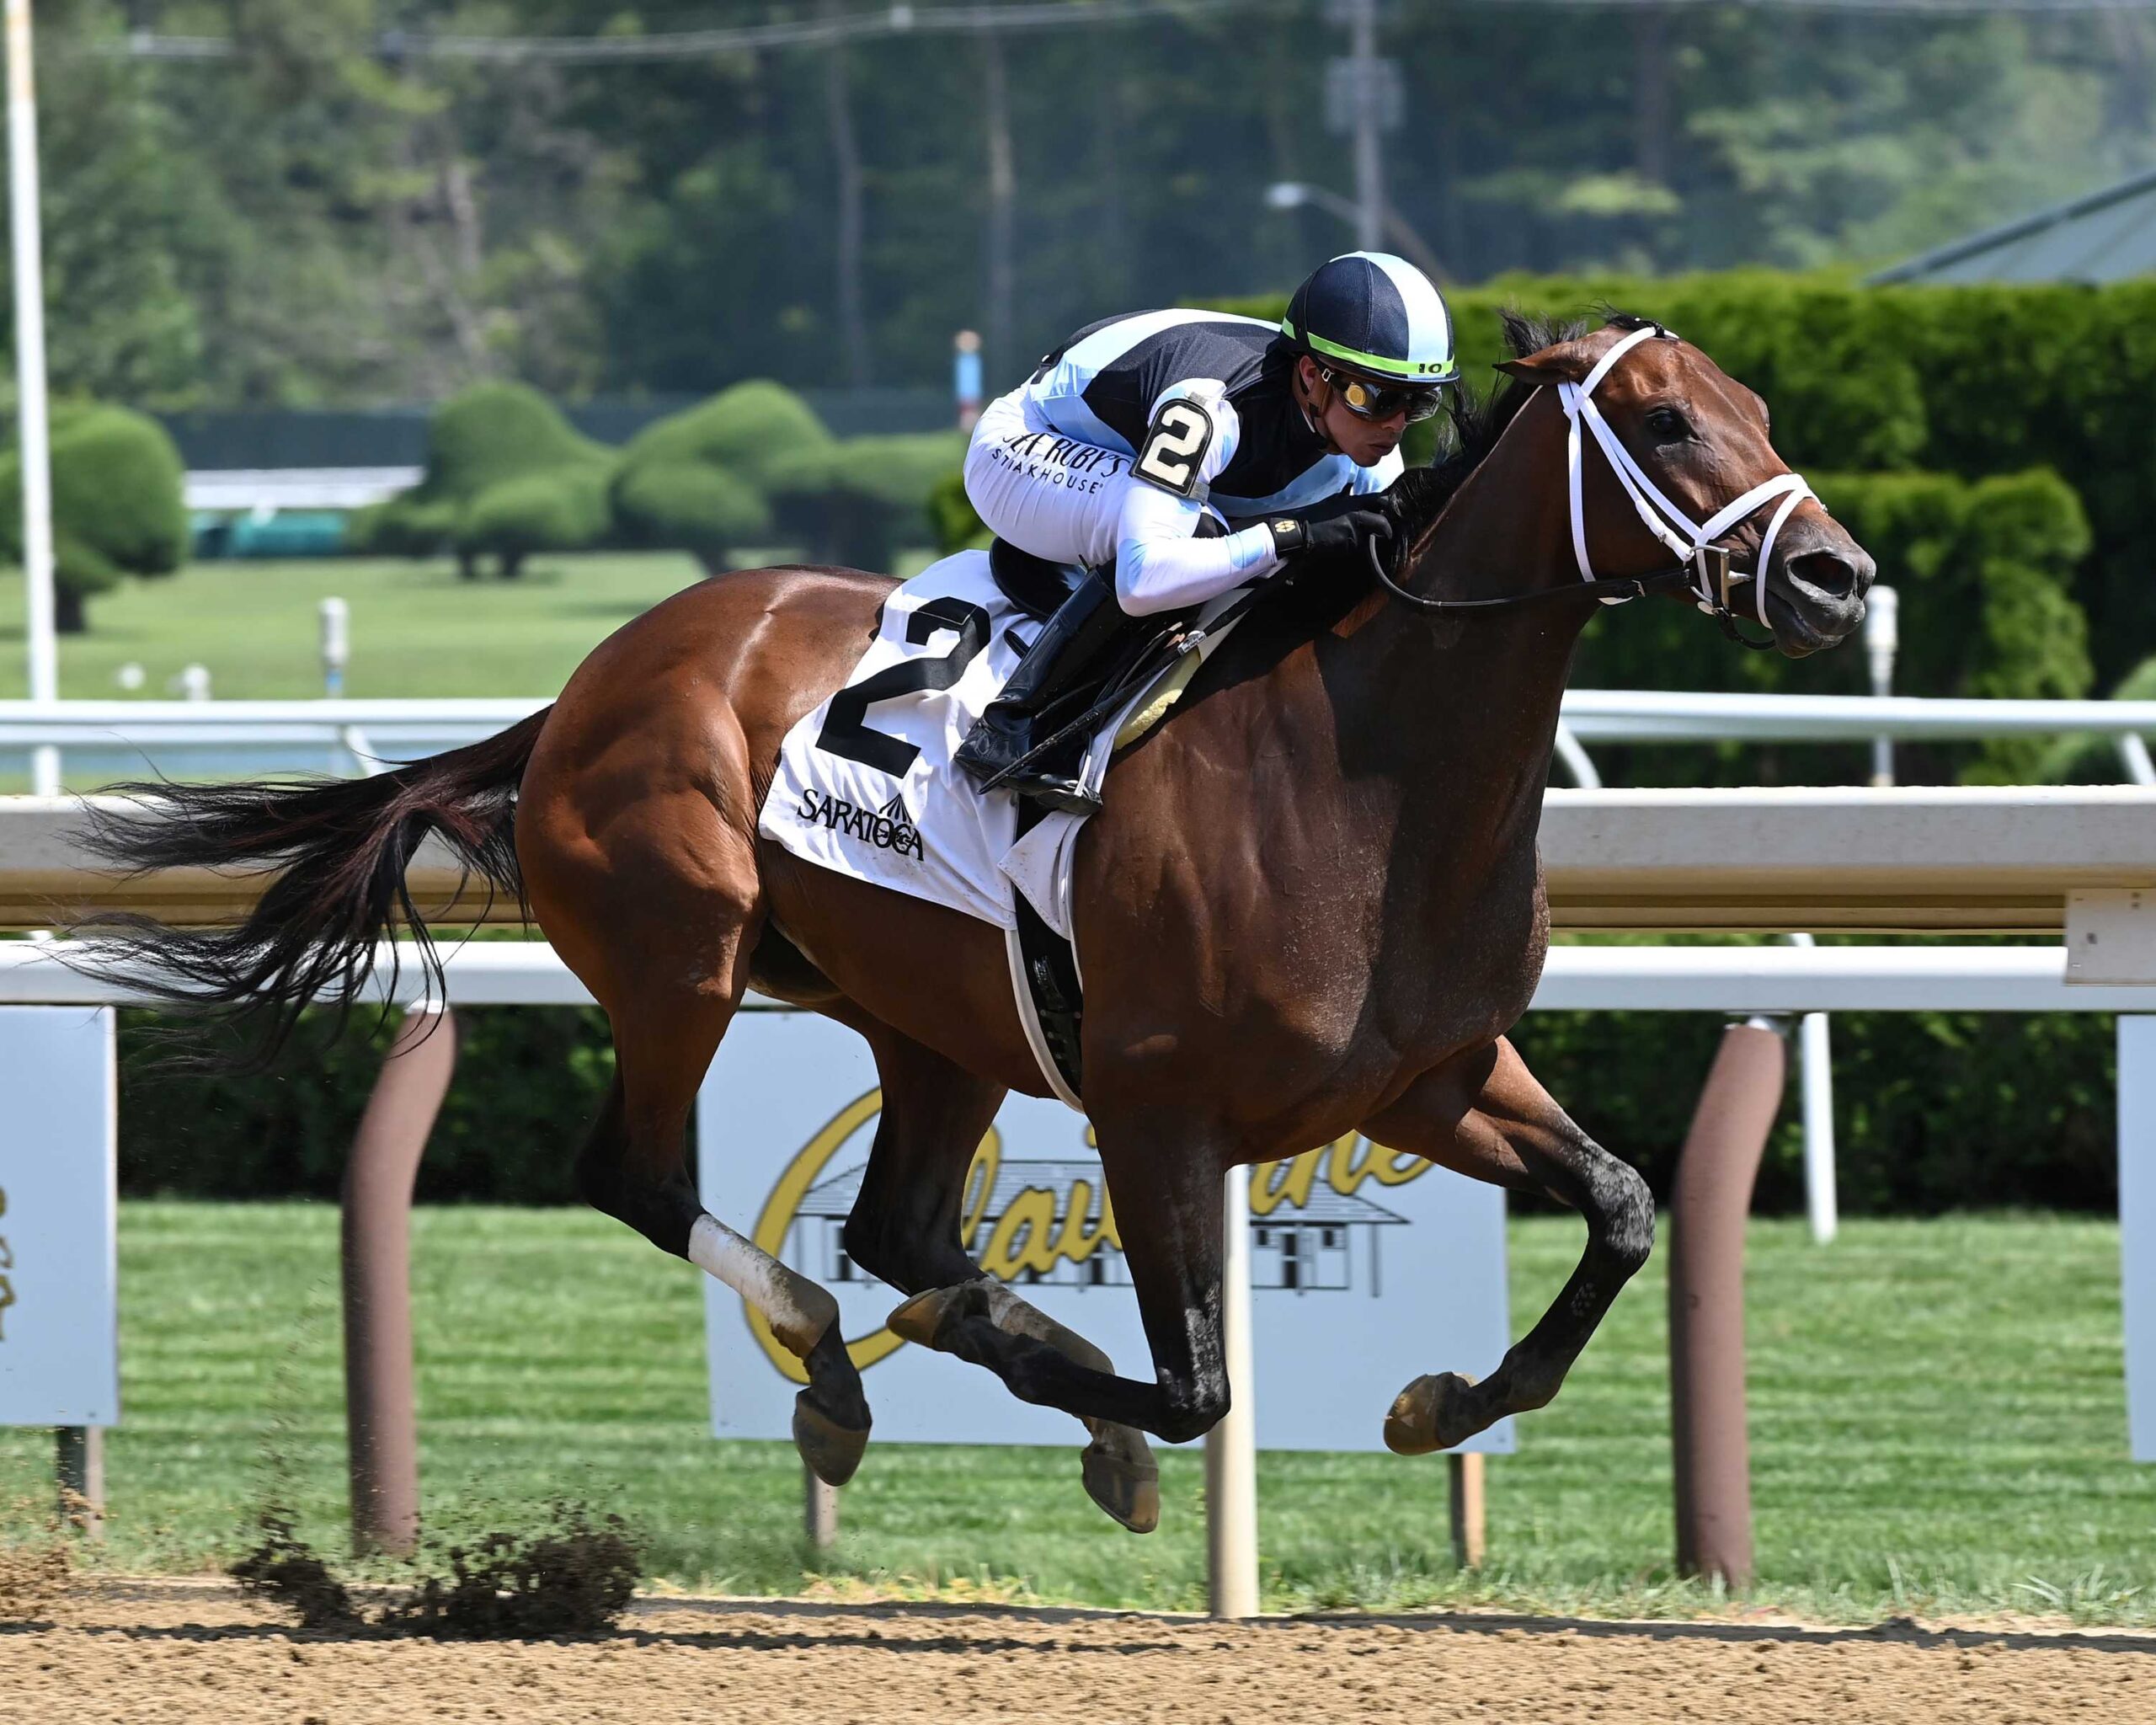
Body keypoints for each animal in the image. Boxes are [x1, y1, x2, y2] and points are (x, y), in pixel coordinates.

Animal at [78, 312, 1873, 1536]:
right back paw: (834, 1359)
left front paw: (1444, 1400)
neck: (1368, 770)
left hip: (934, 1022)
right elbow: (1198, 1379)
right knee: (655, 1181)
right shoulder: (1156, 1105)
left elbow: (1626, 1206)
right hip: (682, 954)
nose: (1838, 578)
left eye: (1760, 409)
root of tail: (588, 683)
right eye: (1663, 417)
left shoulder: (1428, 1075)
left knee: (897, 1226)